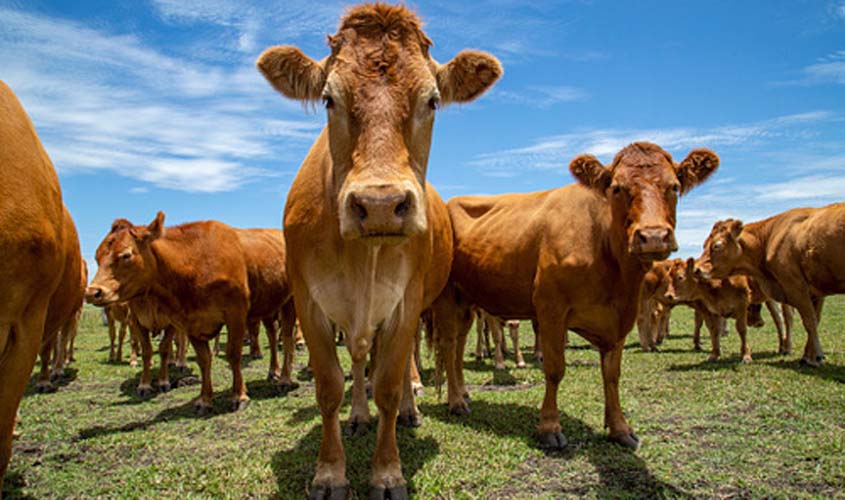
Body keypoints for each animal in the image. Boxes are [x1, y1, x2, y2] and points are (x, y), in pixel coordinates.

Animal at [87, 213, 251, 412]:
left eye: (126, 255)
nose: (92, 292)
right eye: (97, 257)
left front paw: (163, 381)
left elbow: (166, 348)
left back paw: (180, 362)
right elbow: (148, 350)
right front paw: (145, 384)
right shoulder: (139, 320)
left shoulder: (175, 322)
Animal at [254, 2, 498, 496]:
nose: (381, 205)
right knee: (361, 359)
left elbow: (387, 382)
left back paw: (409, 410)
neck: (360, 260)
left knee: (403, 366)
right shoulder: (309, 302)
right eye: (329, 98)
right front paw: (330, 471)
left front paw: (387, 471)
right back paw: (358, 416)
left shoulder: (405, 302)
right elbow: (331, 385)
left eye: (432, 100)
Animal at [432, 141, 716, 450]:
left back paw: (462, 392)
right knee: (448, 344)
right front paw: (549, 427)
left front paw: (620, 428)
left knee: (459, 345)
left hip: (467, 300)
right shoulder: (551, 309)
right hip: (447, 296)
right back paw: (456, 401)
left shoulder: (620, 317)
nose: (653, 236)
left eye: (674, 186)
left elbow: (612, 374)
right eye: (617, 188)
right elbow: (555, 369)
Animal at [692, 207, 844, 368]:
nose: (696, 269)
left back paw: (788, 347)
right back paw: (784, 347)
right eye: (704, 244)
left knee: (786, 318)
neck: (767, 238)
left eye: (717, 245)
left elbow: (810, 322)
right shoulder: (815, 292)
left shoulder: (796, 288)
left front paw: (815, 356)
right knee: (780, 319)